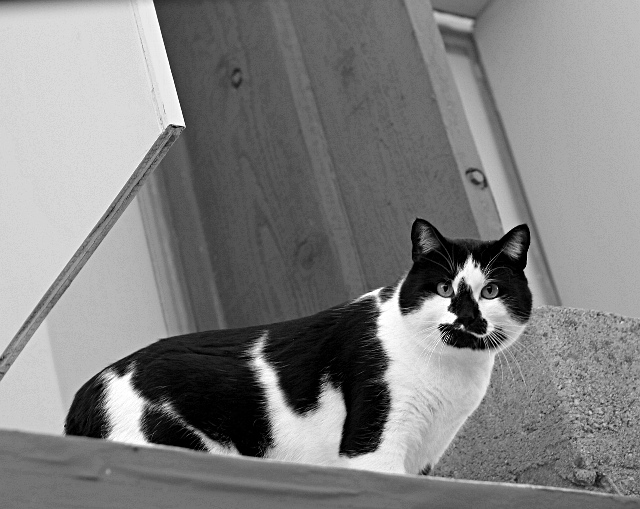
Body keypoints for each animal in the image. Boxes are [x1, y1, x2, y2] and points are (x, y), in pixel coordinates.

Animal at [65, 220, 532, 474]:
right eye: (443, 288)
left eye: (490, 291)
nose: (467, 318)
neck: (450, 374)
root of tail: (83, 399)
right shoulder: (374, 446)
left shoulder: (423, 456)